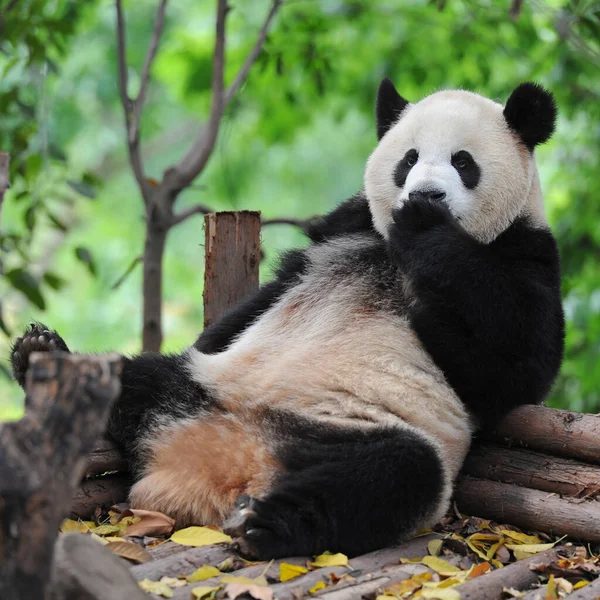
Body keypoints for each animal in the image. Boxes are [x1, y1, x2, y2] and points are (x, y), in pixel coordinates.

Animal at [10, 78, 564, 556]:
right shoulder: (345, 230)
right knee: (137, 377)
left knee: (394, 474)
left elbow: (515, 364)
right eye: (408, 160)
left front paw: (427, 227)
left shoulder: (526, 252)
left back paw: (265, 525)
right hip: (198, 385)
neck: (394, 245)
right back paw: (42, 356)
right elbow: (267, 294)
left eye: (463, 162)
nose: (427, 192)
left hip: (365, 432)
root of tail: (226, 469)